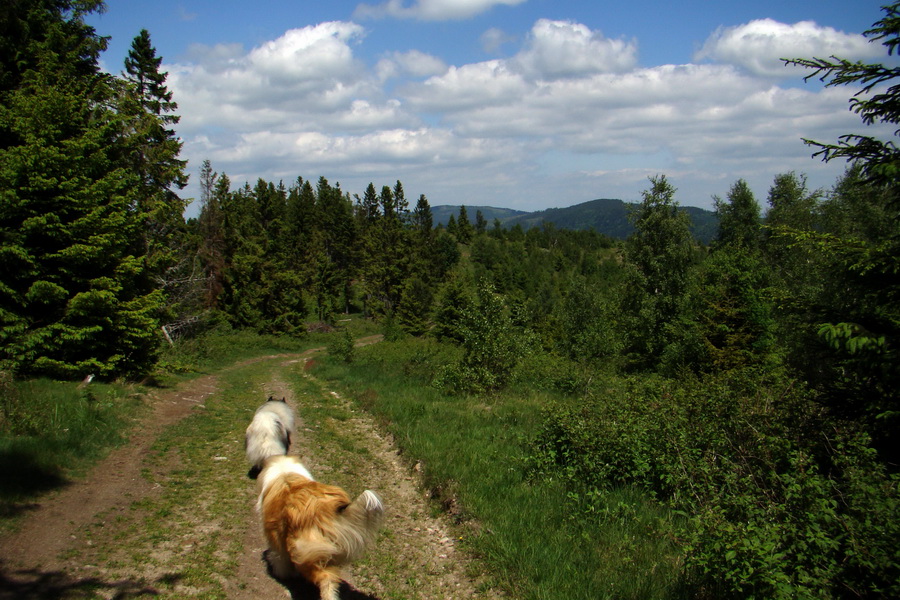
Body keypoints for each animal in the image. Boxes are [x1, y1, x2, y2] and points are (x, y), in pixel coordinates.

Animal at [255, 458, 382, 596]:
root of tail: (326, 510)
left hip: (305, 554)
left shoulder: (276, 535)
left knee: (326, 580)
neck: (285, 473)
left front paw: (281, 572)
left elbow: (279, 557)